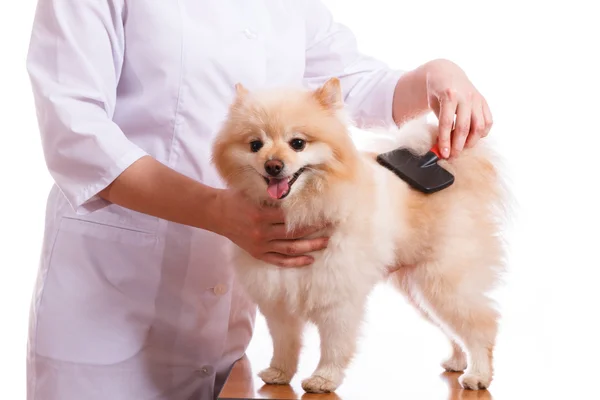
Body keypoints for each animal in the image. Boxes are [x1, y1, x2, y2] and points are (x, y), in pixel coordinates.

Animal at [211, 76, 506, 392]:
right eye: (255, 145)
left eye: (297, 143)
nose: (273, 165)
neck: (302, 205)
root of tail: (445, 164)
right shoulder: (278, 298)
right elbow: (285, 343)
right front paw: (280, 372)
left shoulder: (337, 294)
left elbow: (334, 344)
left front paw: (324, 378)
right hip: (421, 289)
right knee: (455, 328)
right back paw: (458, 360)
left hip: (443, 281)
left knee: (482, 325)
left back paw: (479, 374)